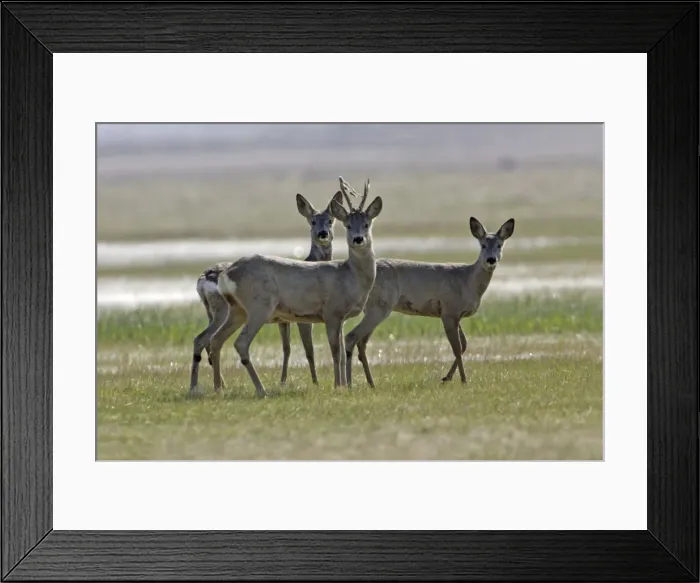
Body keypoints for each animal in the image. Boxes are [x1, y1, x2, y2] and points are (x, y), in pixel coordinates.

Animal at [189, 189, 349, 396]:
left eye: (330, 220)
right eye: (312, 221)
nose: (323, 234)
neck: (311, 261)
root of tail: (202, 279)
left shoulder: (284, 320)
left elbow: (287, 348)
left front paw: (284, 381)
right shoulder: (302, 318)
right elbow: (309, 349)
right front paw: (315, 383)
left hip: (214, 312)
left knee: (203, 340)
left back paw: (204, 386)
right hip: (223, 310)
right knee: (205, 340)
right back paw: (207, 386)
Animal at [208, 177, 383, 398]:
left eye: (367, 224)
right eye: (348, 225)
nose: (358, 239)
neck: (350, 276)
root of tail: (228, 272)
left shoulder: (341, 318)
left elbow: (342, 353)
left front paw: (343, 385)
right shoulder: (331, 312)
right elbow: (335, 352)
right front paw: (338, 386)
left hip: (237, 309)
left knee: (216, 339)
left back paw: (217, 389)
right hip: (259, 306)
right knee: (240, 343)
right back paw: (261, 390)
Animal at [343, 216, 515, 387]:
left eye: (500, 245)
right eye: (483, 245)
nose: (491, 260)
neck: (468, 281)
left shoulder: (455, 314)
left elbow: (464, 344)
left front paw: (446, 378)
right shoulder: (449, 311)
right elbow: (457, 348)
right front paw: (463, 380)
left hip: (373, 308)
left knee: (362, 342)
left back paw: (371, 383)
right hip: (380, 306)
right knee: (354, 337)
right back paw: (355, 384)